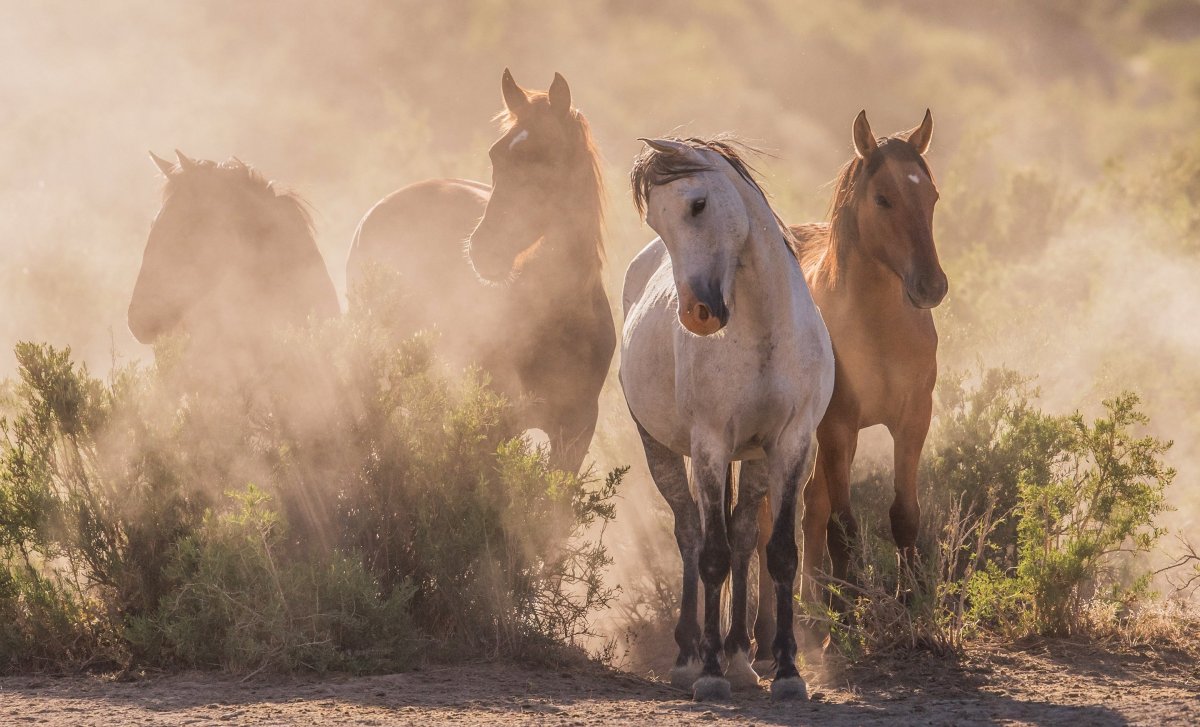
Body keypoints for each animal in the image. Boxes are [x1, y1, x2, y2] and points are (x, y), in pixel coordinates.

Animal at [621, 137, 834, 701]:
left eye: (697, 204)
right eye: (656, 223)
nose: (697, 314)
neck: (763, 328)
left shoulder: (792, 445)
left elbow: (778, 553)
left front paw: (787, 672)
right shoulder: (711, 446)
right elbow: (711, 554)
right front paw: (710, 674)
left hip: (755, 458)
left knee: (741, 536)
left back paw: (741, 658)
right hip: (664, 451)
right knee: (691, 534)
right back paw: (689, 658)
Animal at [753, 109, 946, 652]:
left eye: (932, 195)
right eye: (882, 198)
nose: (931, 286)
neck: (878, 327)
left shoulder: (912, 420)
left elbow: (903, 514)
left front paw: (910, 602)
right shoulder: (838, 426)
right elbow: (843, 524)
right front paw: (849, 614)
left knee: (809, 509)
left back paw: (810, 609)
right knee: (769, 522)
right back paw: (767, 632)